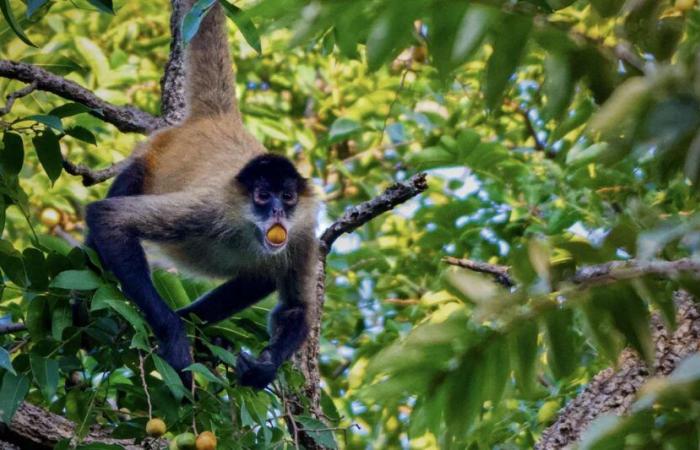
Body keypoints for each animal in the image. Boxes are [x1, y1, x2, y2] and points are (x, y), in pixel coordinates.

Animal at [83, 0, 318, 388]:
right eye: (262, 196)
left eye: (287, 197)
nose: (277, 214)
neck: (247, 231)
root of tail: (217, 119)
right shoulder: (210, 208)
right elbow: (108, 218)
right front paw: (174, 335)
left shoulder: (302, 233)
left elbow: (296, 308)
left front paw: (264, 368)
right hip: (149, 159)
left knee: (262, 275)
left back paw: (198, 326)